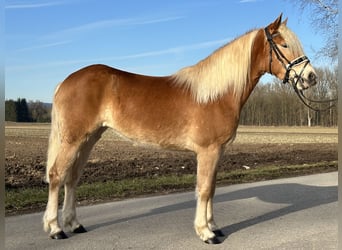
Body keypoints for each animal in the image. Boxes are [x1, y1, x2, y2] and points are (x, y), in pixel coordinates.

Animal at [43, 14, 318, 244]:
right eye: (284, 45)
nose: (311, 77)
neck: (217, 94)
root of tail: (66, 81)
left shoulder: (217, 152)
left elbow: (212, 188)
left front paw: (214, 226)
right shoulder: (208, 151)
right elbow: (204, 189)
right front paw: (206, 233)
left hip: (89, 139)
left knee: (72, 177)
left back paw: (74, 224)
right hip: (73, 140)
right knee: (57, 175)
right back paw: (55, 229)